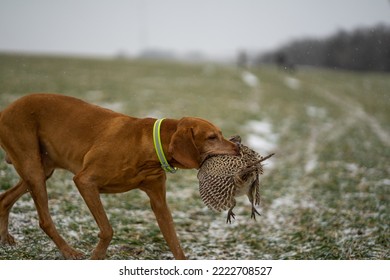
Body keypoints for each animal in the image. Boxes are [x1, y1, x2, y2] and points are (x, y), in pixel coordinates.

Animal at [0, 93, 238, 260]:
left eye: (220, 133)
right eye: (212, 137)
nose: (237, 146)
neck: (148, 147)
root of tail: (7, 109)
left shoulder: (159, 202)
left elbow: (175, 243)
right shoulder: (85, 181)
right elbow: (107, 230)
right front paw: (97, 256)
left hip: (43, 169)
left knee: (5, 198)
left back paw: (5, 239)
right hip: (32, 167)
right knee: (44, 220)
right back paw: (69, 252)